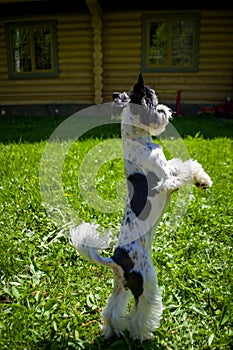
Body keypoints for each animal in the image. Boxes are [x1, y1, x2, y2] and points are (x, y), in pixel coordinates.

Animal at [69, 74, 213, 342]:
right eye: (152, 101)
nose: (167, 110)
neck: (139, 140)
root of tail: (116, 259)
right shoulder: (167, 183)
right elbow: (183, 169)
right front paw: (200, 180)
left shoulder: (169, 170)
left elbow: (183, 163)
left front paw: (203, 178)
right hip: (146, 281)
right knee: (141, 310)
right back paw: (142, 333)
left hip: (122, 286)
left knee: (112, 309)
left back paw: (112, 330)